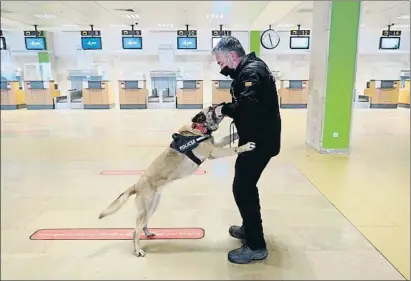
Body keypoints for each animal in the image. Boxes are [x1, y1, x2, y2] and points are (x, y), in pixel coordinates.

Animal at [98, 105, 256, 256]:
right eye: (211, 108)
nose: (223, 103)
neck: (198, 130)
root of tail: (136, 185)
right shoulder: (215, 151)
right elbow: (233, 149)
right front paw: (245, 146)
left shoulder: (216, 144)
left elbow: (230, 136)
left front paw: (239, 133)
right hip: (146, 208)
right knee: (135, 231)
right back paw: (137, 250)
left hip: (152, 207)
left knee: (142, 225)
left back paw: (147, 233)